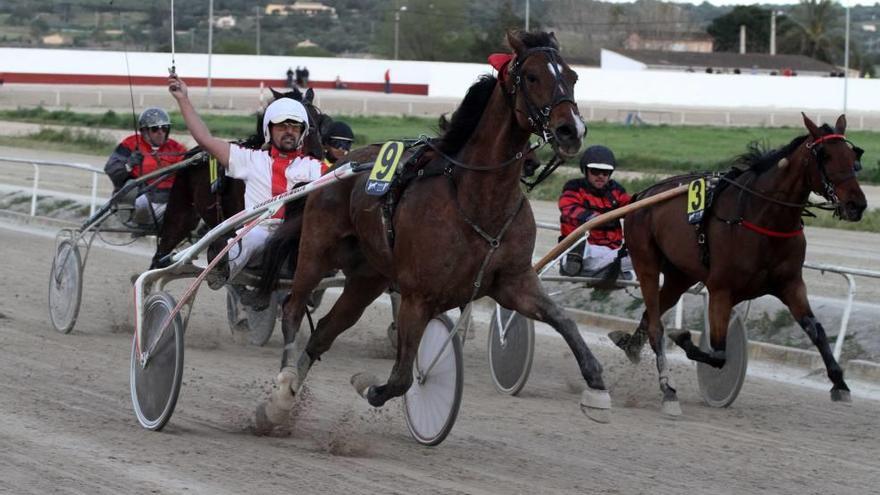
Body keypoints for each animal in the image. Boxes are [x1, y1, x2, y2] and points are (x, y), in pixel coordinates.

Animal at [254, 31, 612, 434]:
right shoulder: (418, 296)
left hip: (367, 277)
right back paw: (283, 390)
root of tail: (338, 166)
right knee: (292, 308)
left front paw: (597, 389)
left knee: (324, 332)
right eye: (533, 76)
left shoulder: (514, 282)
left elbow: (563, 320)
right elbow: (401, 379)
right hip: (316, 251)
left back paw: (279, 404)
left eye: (572, 76)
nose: (571, 130)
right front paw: (368, 385)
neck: (478, 199)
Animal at [612, 114, 868, 416]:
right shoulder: (721, 289)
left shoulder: (791, 284)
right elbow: (719, 353)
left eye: (853, 156)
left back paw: (630, 346)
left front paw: (840, 383)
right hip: (646, 263)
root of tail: (642, 196)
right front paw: (683, 337)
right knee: (655, 326)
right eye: (825, 156)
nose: (857, 204)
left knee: (649, 314)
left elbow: (816, 330)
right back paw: (668, 389)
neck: (763, 217)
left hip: (679, 276)